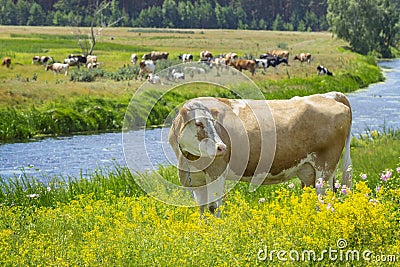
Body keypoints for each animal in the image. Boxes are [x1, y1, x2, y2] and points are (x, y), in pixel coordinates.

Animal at [167, 92, 352, 218]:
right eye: (198, 123)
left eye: (214, 122)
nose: (221, 147)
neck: (188, 160)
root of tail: (329, 95)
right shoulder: (196, 180)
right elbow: (202, 208)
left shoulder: (216, 173)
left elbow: (213, 207)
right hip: (309, 172)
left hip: (325, 167)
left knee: (325, 198)